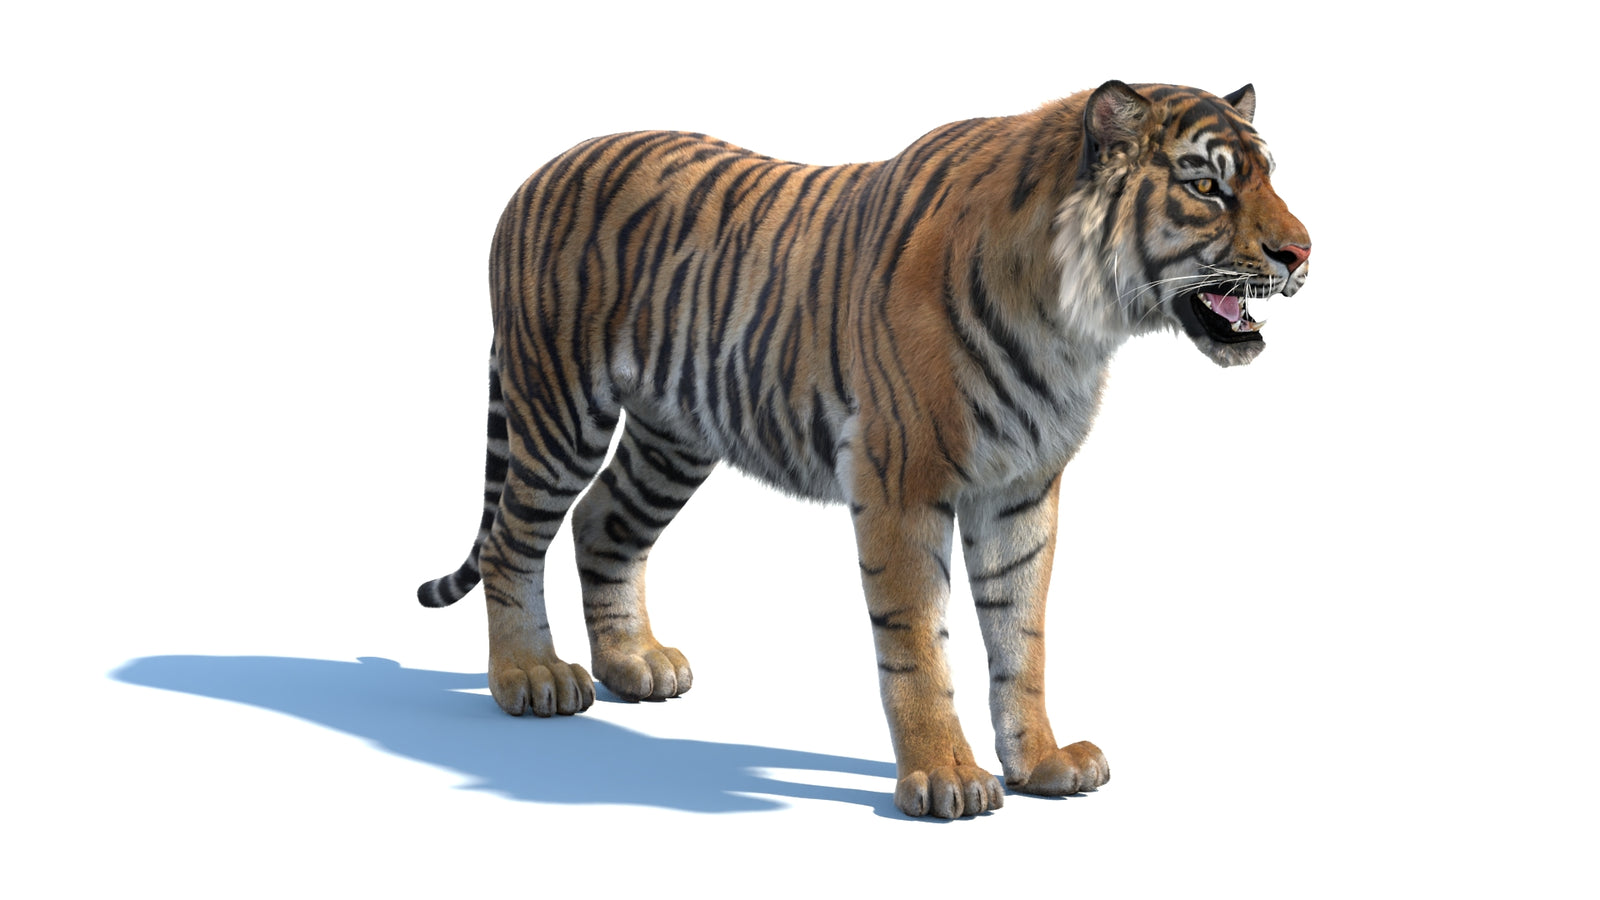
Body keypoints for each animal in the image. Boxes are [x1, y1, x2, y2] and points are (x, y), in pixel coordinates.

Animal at [417, 80, 1311, 819]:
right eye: (1206, 186)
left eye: (1268, 176)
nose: (1302, 252)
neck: (1076, 321)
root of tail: (539, 172)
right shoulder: (901, 480)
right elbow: (916, 640)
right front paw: (946, 779)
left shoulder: (1021, 488)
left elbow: (1021, 636)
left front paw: (1044, 764)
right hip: (559, 406)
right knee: (510, 540)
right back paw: (531, 677)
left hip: (674, 436)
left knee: (603, 521)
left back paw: (636, 664)